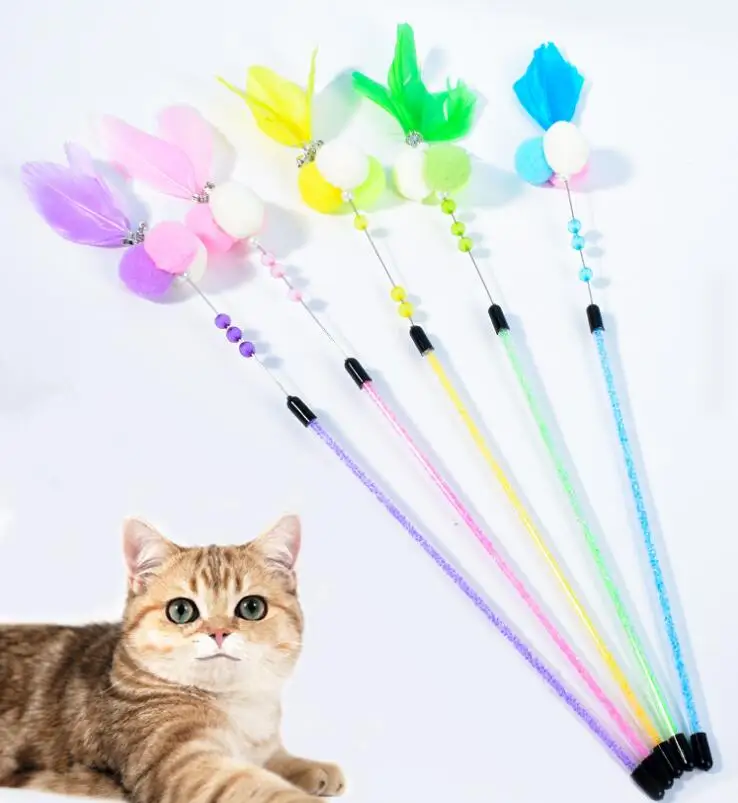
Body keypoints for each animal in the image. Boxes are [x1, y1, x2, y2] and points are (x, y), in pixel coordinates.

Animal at [0, 515, 345, 803]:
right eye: (181, 610)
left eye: (251, 608)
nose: (219, 632)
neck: (237, 706)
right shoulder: (180, 763)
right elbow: (254, 786)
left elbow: (274, 758)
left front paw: (312, 768)